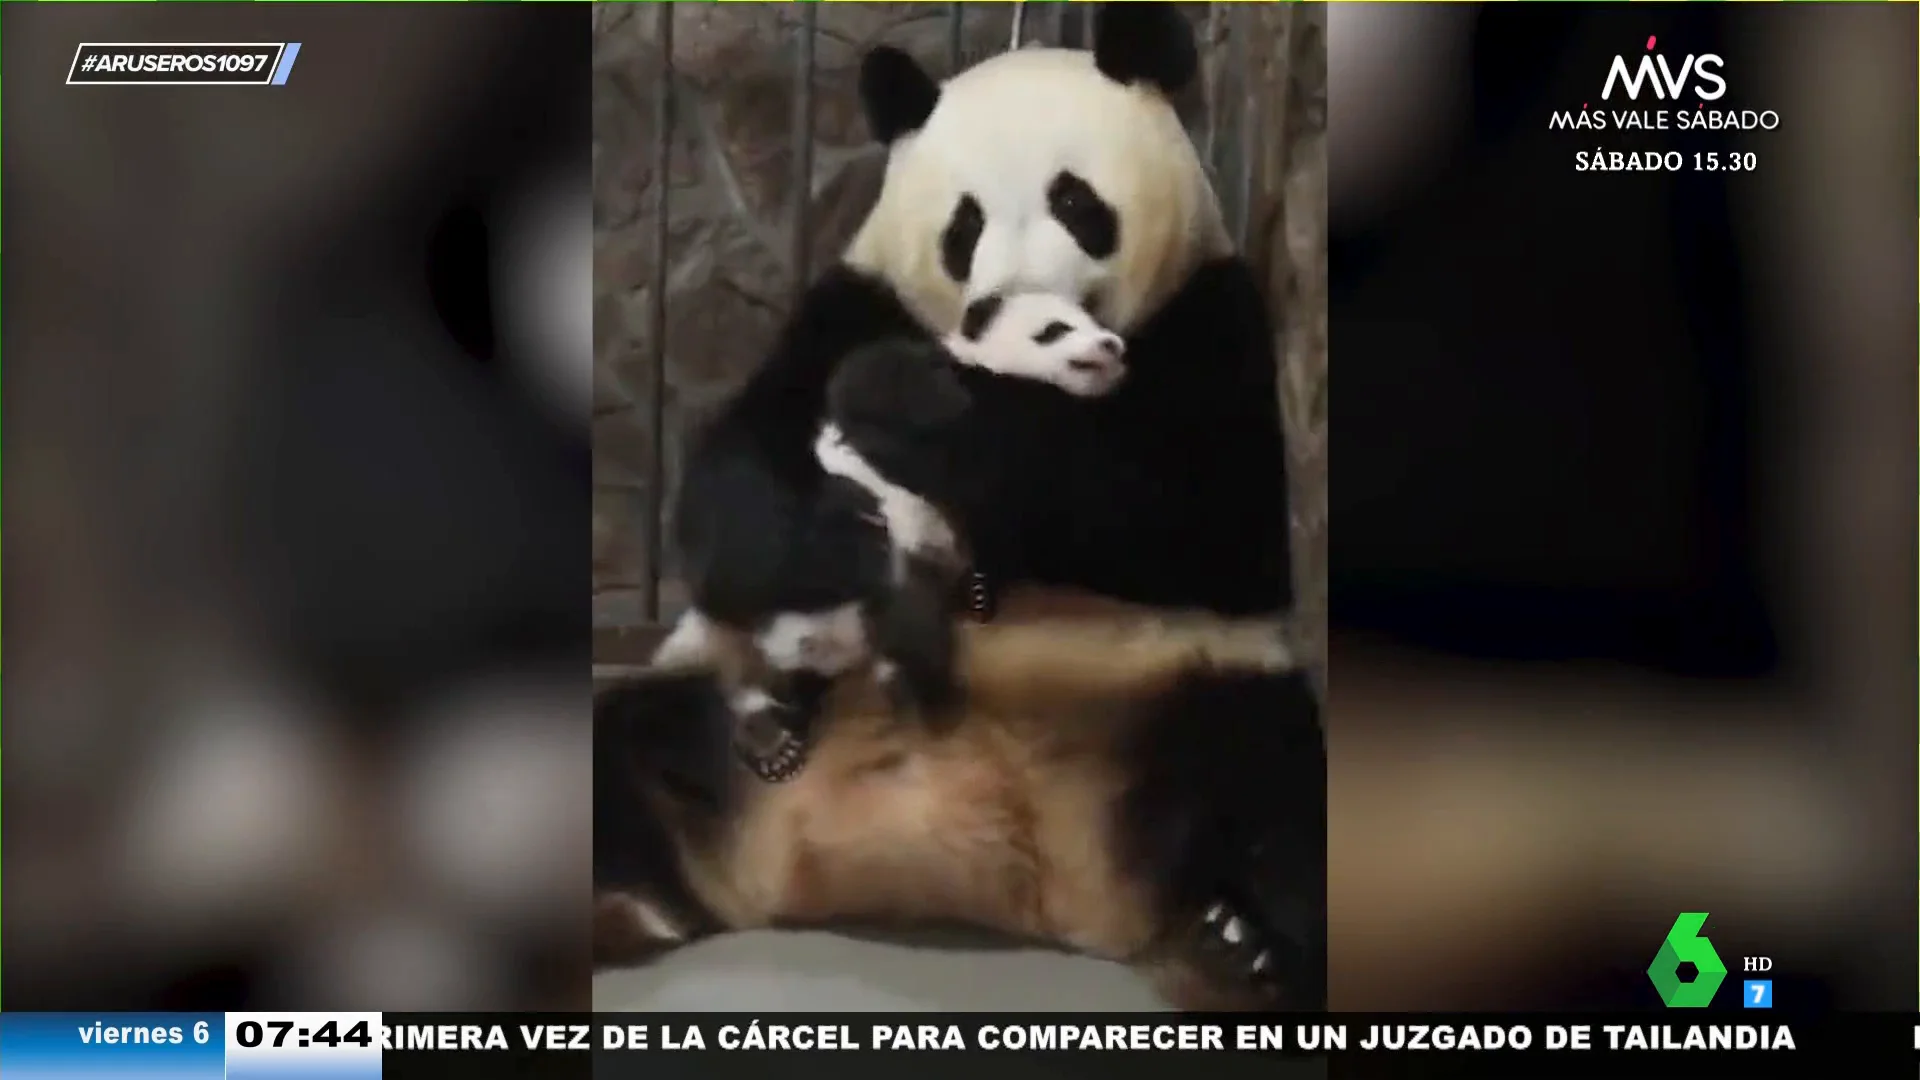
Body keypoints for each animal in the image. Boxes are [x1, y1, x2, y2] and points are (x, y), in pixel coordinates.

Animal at [675, 4, 1290, 657]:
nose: (997, 302)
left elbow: (1217, 513)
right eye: (965, 227)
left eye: (1074, 203)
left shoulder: (1207, 312)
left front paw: (913, 415)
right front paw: (830, 539)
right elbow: (738, 475)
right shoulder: (865, 302)